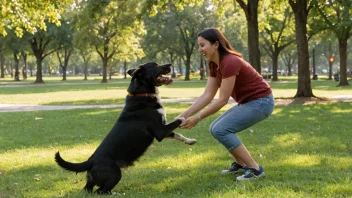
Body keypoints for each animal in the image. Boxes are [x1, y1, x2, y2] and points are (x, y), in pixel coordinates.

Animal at [56, 62, 197, 195]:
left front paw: (190, 141)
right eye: (156, 65)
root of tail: (90, 161)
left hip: (92, 181)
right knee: (102, 191)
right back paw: (117, 193)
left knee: (90, 190)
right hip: (115, 174)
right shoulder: (160, 131)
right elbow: (178, 120)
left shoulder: (162, 131)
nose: (170, 64)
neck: (142, 93)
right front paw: (187, 118)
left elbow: (178, 135)